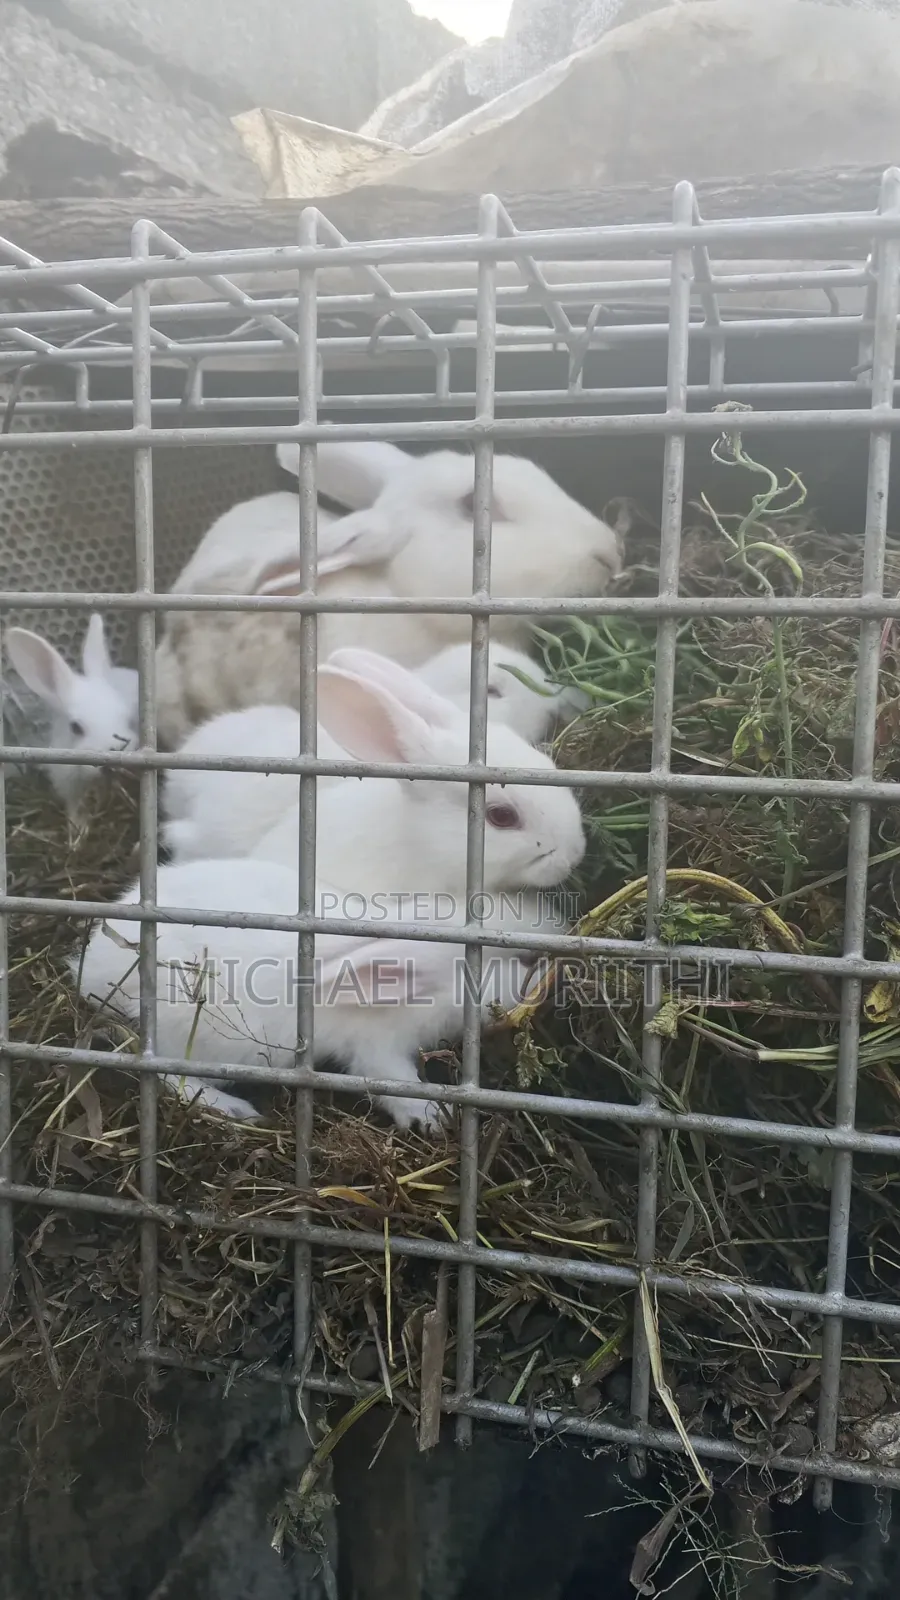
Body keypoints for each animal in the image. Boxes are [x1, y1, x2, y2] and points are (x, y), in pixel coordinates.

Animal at [5, 614, 139, 818]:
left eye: (127, 717)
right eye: (76, 727)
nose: (115, 749)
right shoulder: (67, 783)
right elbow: (74, 807)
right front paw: (78, 822)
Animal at [71, 857, 569, 1130]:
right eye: (526, 959)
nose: (562, 931)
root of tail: (89, 969)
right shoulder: (375, 1049)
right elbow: (395, 1083)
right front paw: (431, 1116)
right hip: (180, 1036)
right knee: (168, 1074)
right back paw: (235, 1110)